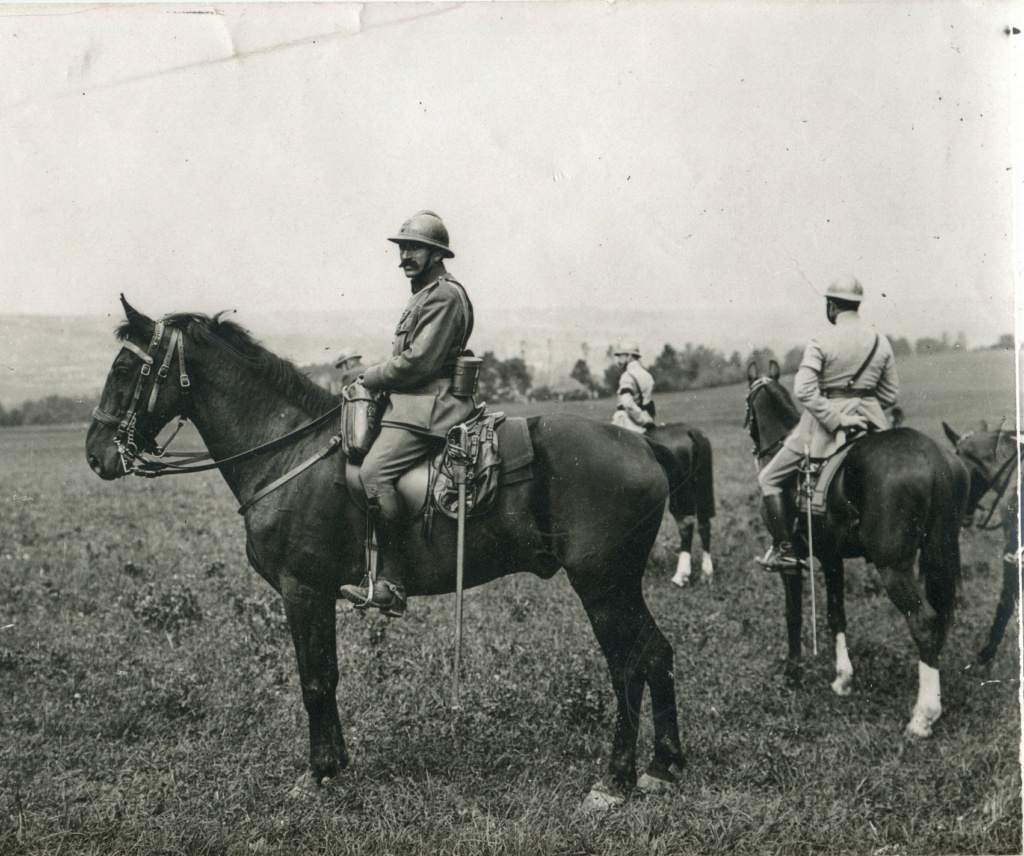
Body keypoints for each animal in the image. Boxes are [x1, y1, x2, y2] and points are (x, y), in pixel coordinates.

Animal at [81, 298, 688, 810]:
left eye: (125, 370)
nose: (95, 454)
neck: (289, 453)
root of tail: (642, 444)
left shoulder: (303, 590)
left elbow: (315, 679)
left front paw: (318, 771)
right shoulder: (316, 594)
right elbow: (326, 675)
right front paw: (335, 765)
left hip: (601, 584)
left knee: (627, 665)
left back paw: (614, 780)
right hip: (621, 584)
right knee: (656, 653)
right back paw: (663, 767)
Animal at [643, 423, 716, 585]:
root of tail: (691, 432)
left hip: (680, 491)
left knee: (685, 523)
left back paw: (681, 574)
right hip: (703, 485)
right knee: (704, 523)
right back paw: (706, 573)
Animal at [745, 360, 966, 737]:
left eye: (748, 402)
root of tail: (932, 456)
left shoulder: (793, 563)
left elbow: (793, 614)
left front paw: (793, 673)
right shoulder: (831, 557)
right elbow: (836, 613)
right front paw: (843, 679)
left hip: (892, 567)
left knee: (924, 620)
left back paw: (923, 716)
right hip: (939, 551)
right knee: (939, 619)